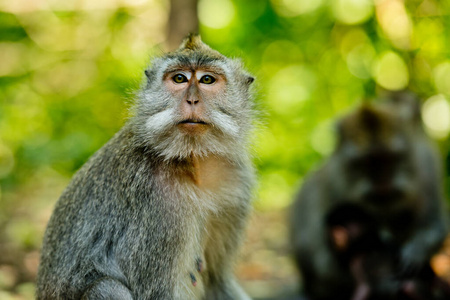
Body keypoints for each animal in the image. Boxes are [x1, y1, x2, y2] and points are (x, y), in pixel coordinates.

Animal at [290, 92, 448, 300]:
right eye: (366, 161)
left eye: (388, 159)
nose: (381, 185)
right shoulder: (335, 182)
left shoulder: (427, 170)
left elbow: (433, 222)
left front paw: (414, 253)